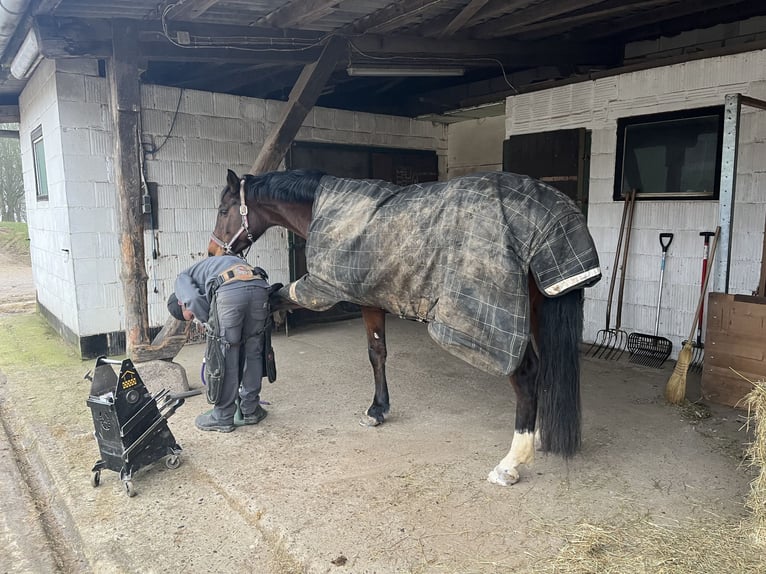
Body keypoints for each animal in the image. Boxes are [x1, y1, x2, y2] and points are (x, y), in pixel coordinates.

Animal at [212, 168, 608, 486]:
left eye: (223, 210)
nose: (212, 252)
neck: (328, 210)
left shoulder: (324, 289)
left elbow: (281, 299)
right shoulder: (372, 298)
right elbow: (378, 352)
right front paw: (378, 410)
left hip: (501, 325)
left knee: (527, 375)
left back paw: (510, 463)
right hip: (542, 309)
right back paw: (541, 435)